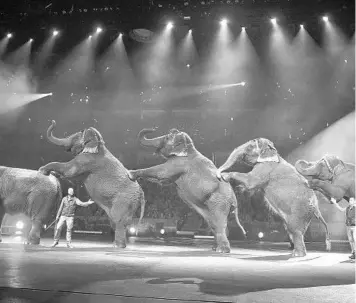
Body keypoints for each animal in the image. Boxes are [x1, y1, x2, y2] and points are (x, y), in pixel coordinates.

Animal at [38, 121, 145, 249]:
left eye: (77, 135)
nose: (53, 121)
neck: (99, 143)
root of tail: (142, 194)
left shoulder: (87, 160)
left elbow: (70, 170)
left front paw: (42, 170)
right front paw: (53, 173)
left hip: (125, 200)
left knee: (119, 220)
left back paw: (118, 247)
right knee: (114, 221)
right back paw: (115, 244)